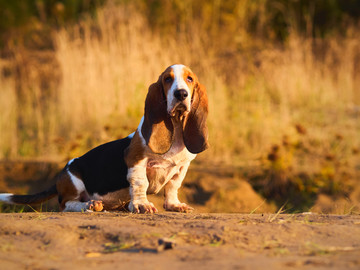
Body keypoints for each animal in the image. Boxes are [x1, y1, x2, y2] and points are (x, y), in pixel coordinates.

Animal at [0, 63, 208, 213]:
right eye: (167, 79)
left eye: (189, 79)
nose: (181, 94)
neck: (176, 129)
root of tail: (59, 177)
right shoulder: (135, 159)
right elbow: (140, 182)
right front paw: (142, 205)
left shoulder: (182, 167)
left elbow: (173, 186)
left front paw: (175, 205)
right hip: (74, 179)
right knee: (66, 204)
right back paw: (90, 205)